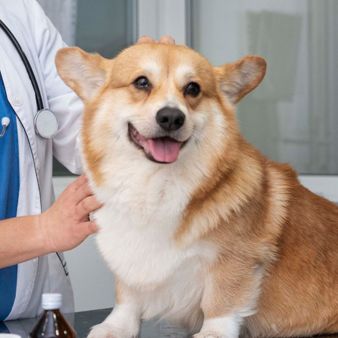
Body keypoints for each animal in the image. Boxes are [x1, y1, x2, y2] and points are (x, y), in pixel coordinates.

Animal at [55, 41, 338, 336]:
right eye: (142, 82)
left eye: (193, 88)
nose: (171, 117)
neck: (157, 184)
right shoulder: (130, 257)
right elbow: (128, 295)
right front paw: (116, 326)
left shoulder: (234, 258)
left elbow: (221, 300)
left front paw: (213, 332)